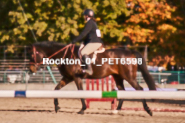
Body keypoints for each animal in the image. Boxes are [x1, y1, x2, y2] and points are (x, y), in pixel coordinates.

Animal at [28, 41, 156, 116]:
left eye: (32, 55)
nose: (31, 69)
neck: (65, 56)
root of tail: (130, 52)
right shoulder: (68, 77)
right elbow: (56, 89)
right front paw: (57, 107)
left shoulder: (76, 78)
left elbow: (80, 92)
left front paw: (82, 109)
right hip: (118, 77)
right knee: (122, 92)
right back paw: (117, 110)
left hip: (129, 77)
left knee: (140, 89)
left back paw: (148, 110)